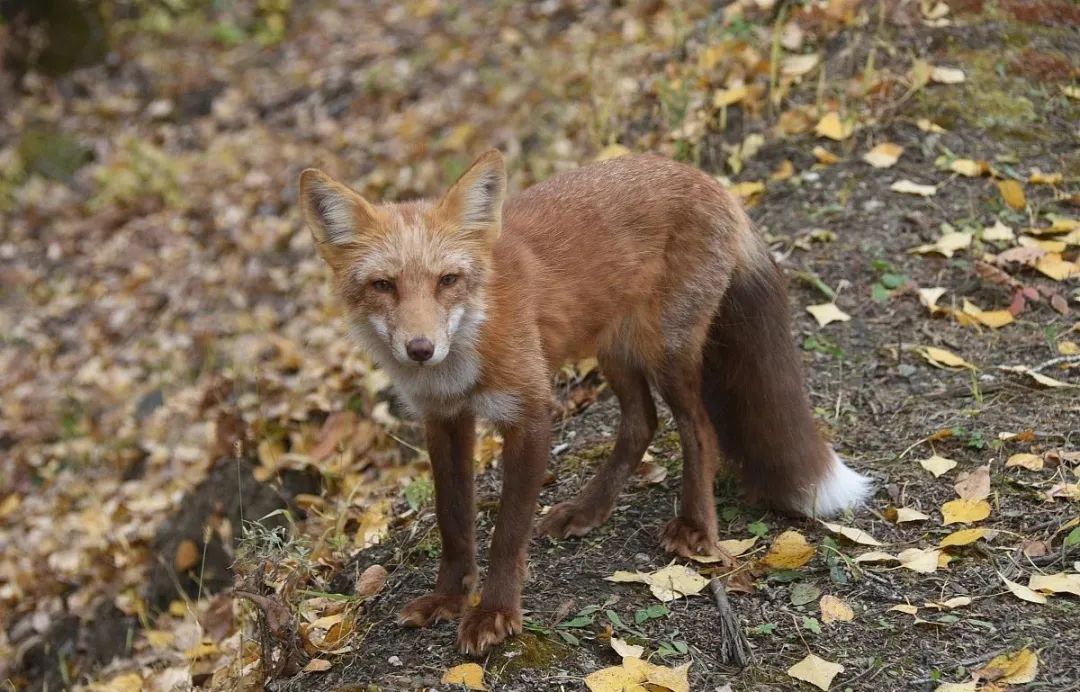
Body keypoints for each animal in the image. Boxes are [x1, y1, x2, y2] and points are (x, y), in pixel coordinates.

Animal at [300, 150, 872, 652]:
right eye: (384, 285)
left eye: (448, 281)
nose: (420, 349)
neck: (469, 348)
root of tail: (709, 181)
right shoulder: (444, 420)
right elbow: (454, 521)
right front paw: (448, 598)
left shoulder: (531, 414)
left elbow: (507, 534)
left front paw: (495, 614)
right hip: (615, 351)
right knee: (641, 424)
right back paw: (590, 509)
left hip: (665, 352)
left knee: (699, 428)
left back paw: (695, 526)